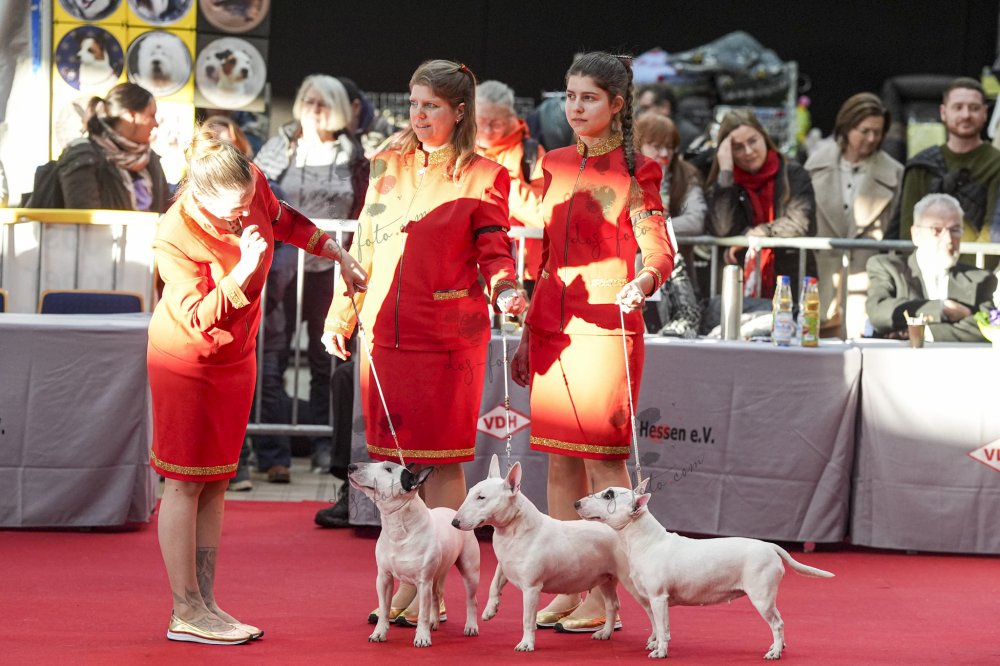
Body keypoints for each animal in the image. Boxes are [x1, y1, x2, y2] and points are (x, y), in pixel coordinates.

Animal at [347, 461, 480, 648]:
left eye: (388, 469)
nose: (351, 466)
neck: (398, 524)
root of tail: (454, 514)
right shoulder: (384, 578)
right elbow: (384, 609)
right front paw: (379, 633)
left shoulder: (423, 582)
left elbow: (422, 613)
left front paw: (422, 637)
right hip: (437, 573)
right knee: (436, 595)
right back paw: (434, 622)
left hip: (469, 571)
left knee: (471, 599)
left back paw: (471, 627)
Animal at [452, 455, 628, 652]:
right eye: (470, 492)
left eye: (481, 497)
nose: (455, 522)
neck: (514, 529)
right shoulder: (504, 564)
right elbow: (493, 584)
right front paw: (490, 610)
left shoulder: (531, 588)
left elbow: (527, 618)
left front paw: (526, 643)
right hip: (606, 578)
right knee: (613, 604)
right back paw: (605, 633)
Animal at [575, 482, 835, 660]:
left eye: (608, 495)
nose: (576, 503)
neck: (646, 540)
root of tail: (770, 546)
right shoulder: (652, 600)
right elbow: (659, 627)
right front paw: (657, 644)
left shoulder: (659, 599)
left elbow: (661, 627)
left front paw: (660, 652)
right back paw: (776, 647)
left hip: (762, 597)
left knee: (777, 624)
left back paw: (775, 653)